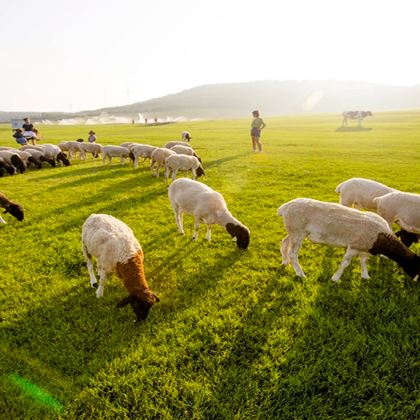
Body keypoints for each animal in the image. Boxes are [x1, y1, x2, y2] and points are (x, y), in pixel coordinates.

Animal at [278, 198, 418, 282]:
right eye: (417, 267)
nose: (416, 282)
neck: (381, 239)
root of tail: (284, 207)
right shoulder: (354, 247)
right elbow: (345, 263)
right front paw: (335, 278)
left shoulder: (364, 247)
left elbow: (363, 261)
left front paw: (365, 276)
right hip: (297, 230)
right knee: (293, 254)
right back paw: (300, 274)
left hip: (294, 230)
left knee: (284, 242)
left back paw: (285, 261)